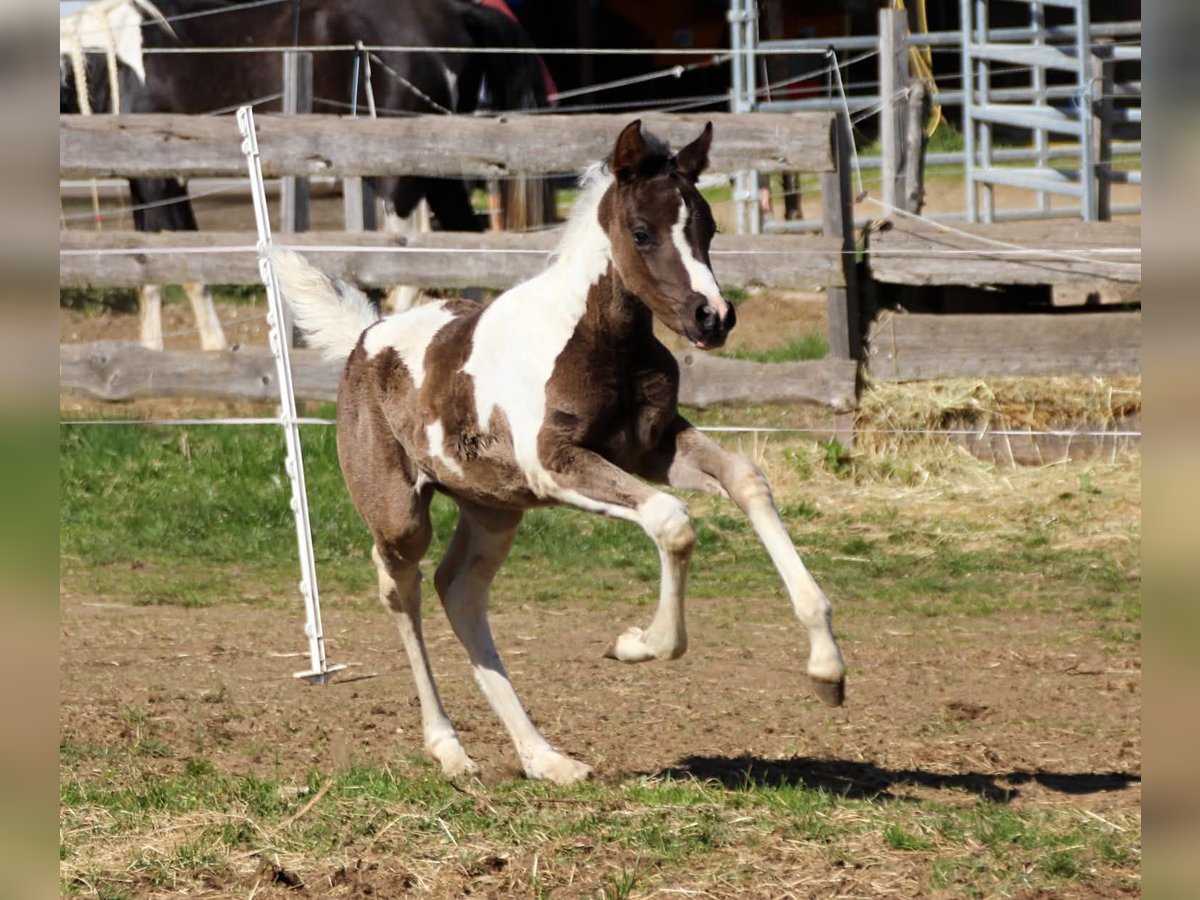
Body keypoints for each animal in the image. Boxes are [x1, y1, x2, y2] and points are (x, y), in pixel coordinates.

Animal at [59, 0, 549, 348]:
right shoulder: (150, 180)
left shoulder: (158, 179)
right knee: (465, 239)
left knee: (411, 246)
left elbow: (176, 263)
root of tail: (458, 12)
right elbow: (155, 265)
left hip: (402, 172)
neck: (112, 61)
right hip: (440, 171)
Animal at [269, 121, 847, 784]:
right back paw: (449, 749)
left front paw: (828, 672)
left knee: (458, 591)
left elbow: (747, 479)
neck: (598, 340)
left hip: (494, 509)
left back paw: (545, 757)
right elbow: (671, 521)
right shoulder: (556, 465)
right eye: (642, 231)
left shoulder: (652, 447)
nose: (714, 317)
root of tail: (365, 338)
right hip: (400, 515)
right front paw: (636, 644)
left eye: (708, 227)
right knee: (401, 588)